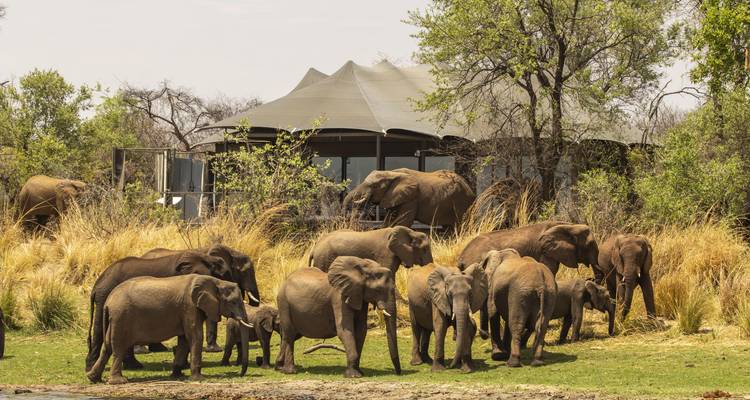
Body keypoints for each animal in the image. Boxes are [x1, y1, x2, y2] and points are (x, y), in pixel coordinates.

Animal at [86, 274, 252, 384]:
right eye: (234, 302)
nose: (240, 374)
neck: (216, 281)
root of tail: (108, 301)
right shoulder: (189, 307)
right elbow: (195, 336)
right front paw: (199, 379)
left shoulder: (188, 310)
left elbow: (184, 340)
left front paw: (178, 376)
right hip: (121, 317)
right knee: (118, 347)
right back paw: (119, 381)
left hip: (115, 319)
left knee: (107, 347)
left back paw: (93, 378)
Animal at [343, 168, 475, 228]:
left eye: (374, 186)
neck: (392, 173)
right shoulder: (395, 197)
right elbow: (389, 220)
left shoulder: (411, 198)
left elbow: (403, 221)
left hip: (462, 202)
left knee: (462, 225)